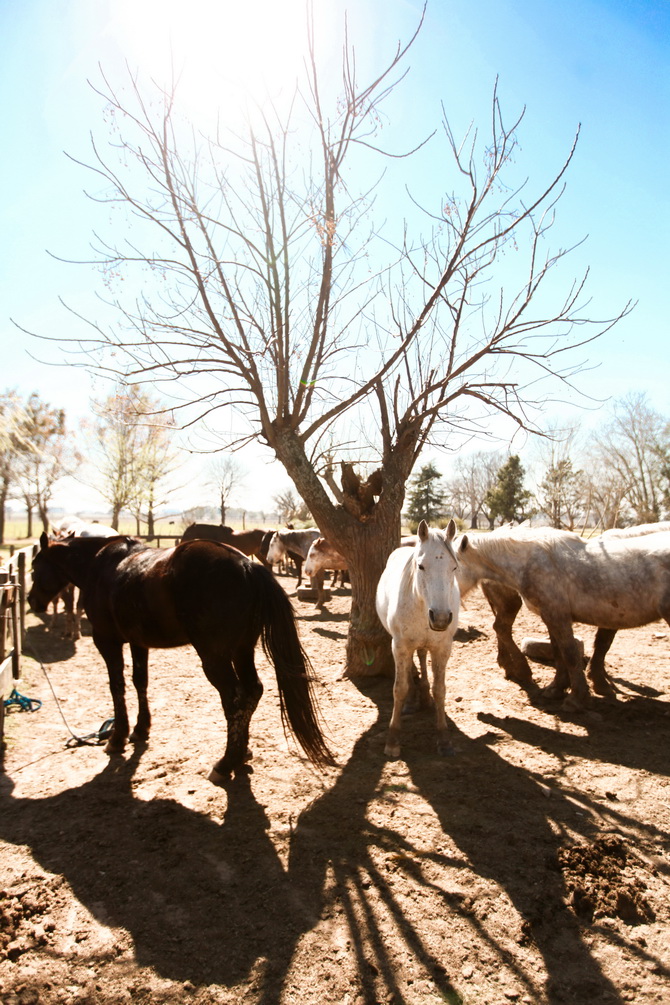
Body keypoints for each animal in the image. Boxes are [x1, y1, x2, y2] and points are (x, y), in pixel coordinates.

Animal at [29, 534, 335, 783]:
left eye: (34, 568)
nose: (32, 601)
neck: (100, 566)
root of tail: (247, 566)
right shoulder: (139, 643)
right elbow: (140, 682)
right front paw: (141, 729)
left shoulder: (107, 641)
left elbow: (117, 686)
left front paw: (117, 738)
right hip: (242, 650)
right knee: (252, 692)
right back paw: (241, 752)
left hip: (215, 658)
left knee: (235, 700)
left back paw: (225, 763)